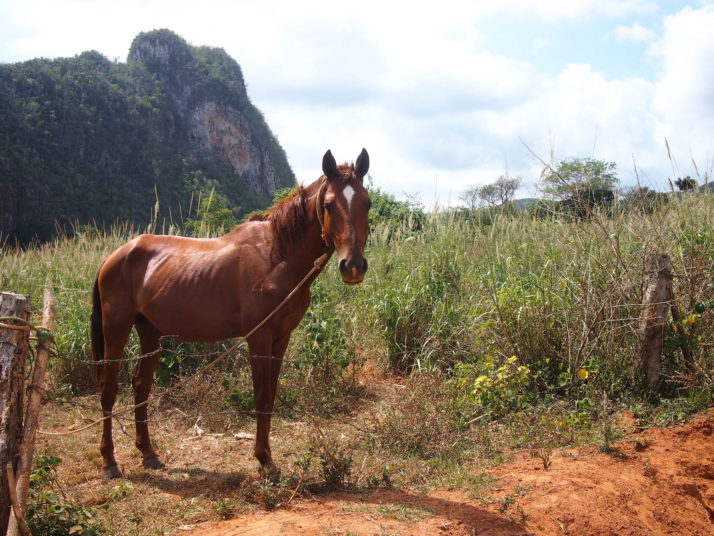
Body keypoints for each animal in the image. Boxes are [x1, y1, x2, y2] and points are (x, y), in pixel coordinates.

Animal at [91, 149, 370, 480]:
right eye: (328, 205)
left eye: (367, 202)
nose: (353, 266)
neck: (277, 256)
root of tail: (115, 256)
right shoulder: (259, 338)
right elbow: (261, 396)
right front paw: (264, 461)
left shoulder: (281, 338)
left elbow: (270, 396)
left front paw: (267, 459)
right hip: (116, 329)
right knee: (109, 390)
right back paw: (109, 462)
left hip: (150, 332)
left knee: (140, 386)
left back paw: (148, 453)